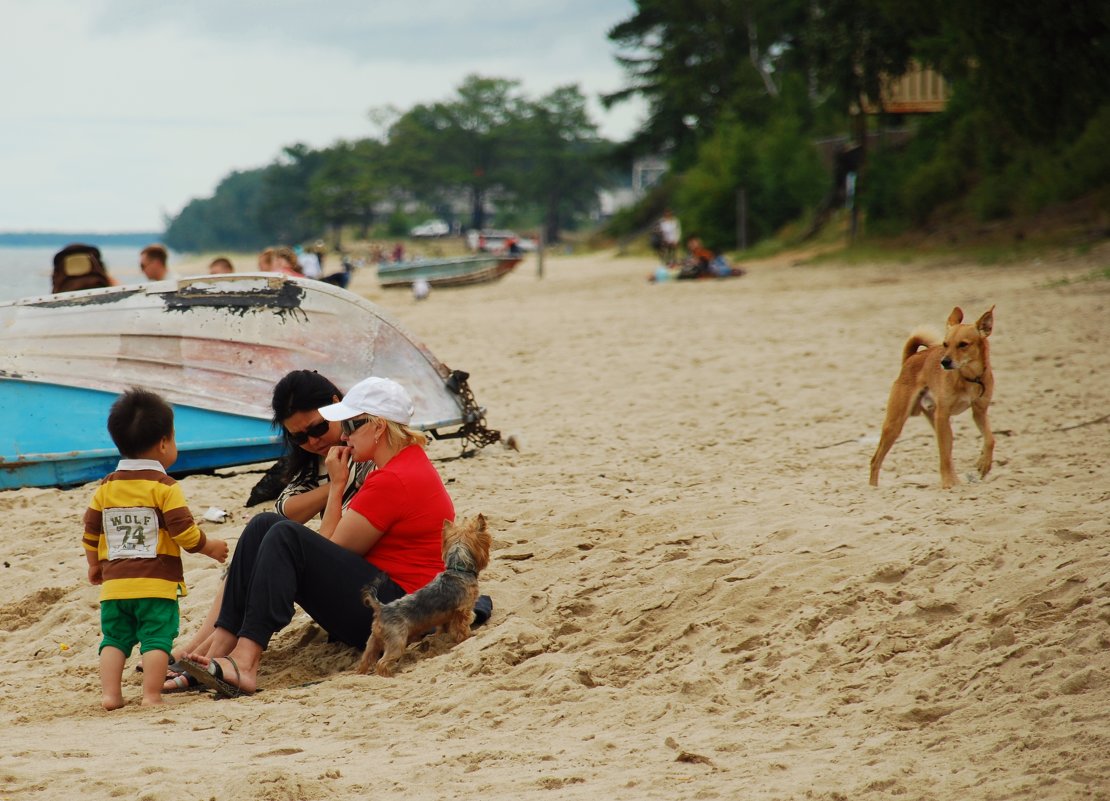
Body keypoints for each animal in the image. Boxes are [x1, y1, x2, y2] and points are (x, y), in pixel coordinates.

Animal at [357, 512, 492, 674]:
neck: (458, 568)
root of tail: (381, 607)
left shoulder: (446, 616)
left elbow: (444, 627)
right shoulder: (462, 611)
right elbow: (461, 628)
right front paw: (465, 638)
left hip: (374, 640)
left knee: (366, 658)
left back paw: (361, 673)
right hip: (397, 640)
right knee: (382, 662)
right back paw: (387, 674)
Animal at [865, 306, 999, 485]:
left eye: (963, 345)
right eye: (945, 344)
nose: (944, 362)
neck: (969, 377)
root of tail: (911, 358)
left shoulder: (979, 413)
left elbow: (990, 439)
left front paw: (984, 463)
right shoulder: (942, 416)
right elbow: (944, 456)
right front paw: (947, 484)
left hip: (936, 423)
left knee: (949, 450)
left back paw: (957, 481)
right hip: (895, 425)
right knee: (875, 461)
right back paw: (873, 488)